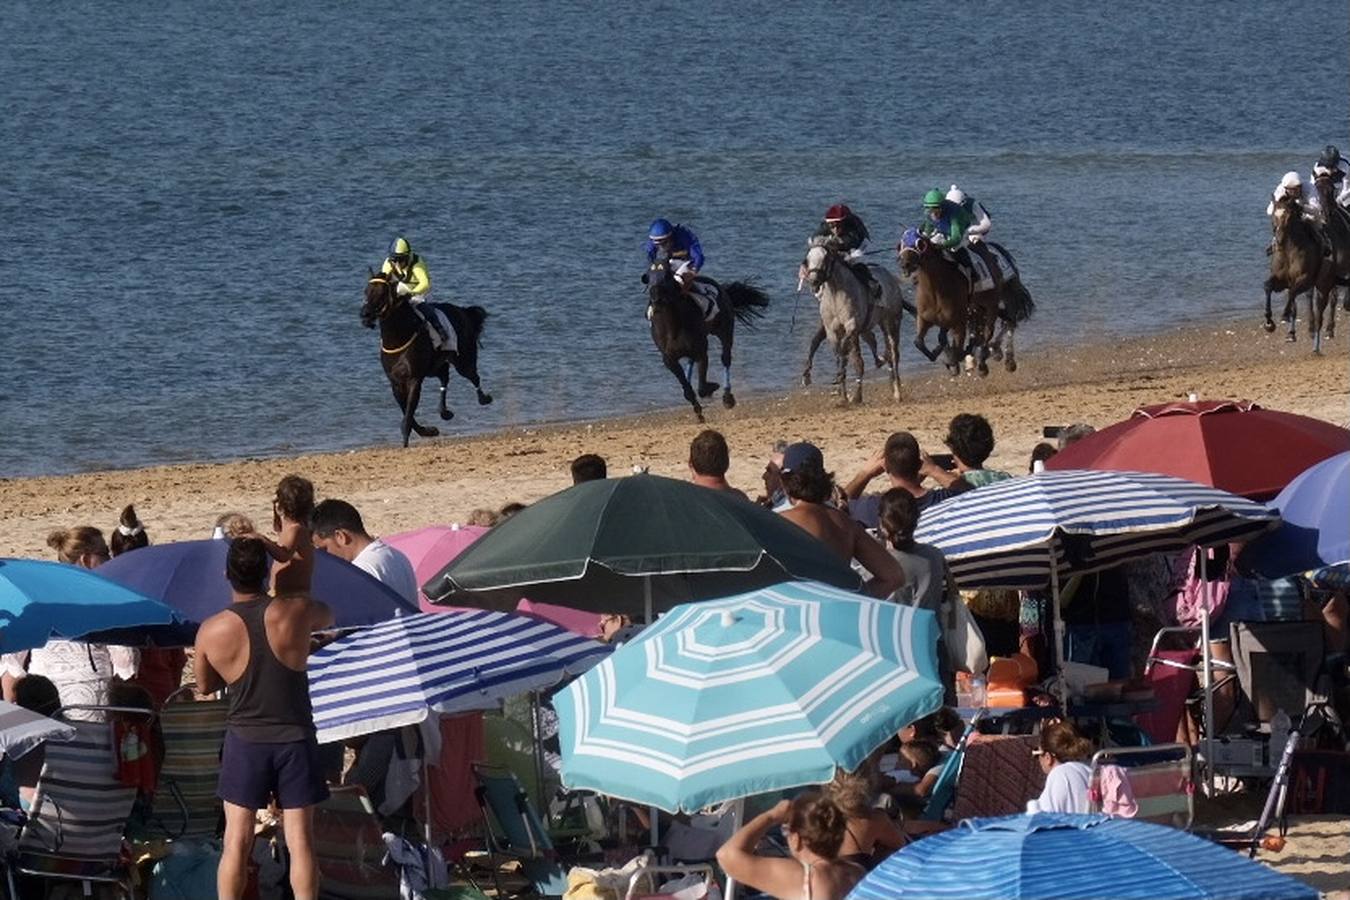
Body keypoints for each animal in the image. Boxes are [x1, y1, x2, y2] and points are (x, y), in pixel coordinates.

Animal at [361, 272, 494, 445]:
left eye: (382, 293)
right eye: (366, 291)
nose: (365, 314)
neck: (399, 338)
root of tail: (464, 311)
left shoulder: (415, 379)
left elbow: (409, 412)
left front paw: (408, 438)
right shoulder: (395, 383)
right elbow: (406, 412)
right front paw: (428, 431)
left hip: (463, 361)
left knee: (474, 377)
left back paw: (484, 398)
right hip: (434, 367)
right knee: (444, 376)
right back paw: (444, 412)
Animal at [645, 255, 772, 420]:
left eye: (667, 275)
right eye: (648, 277)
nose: (656, 299)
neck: (673, 327)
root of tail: (721, 287)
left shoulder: (701, 351)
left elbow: (701, 387)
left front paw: (713, 388)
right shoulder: (670, 360)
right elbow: (687, 388)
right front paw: (698, 412)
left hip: (724, 330)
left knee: (725, 358)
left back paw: (727, 398)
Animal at [804, 244, 901, 402]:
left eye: (825, 258)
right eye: (808, 259)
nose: (813, 282)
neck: (836, 296)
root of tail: (891, 278)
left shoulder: (851, 327)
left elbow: (848, 355)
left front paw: (853, 395)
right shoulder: (832, 331)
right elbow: (841, 357)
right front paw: (843, 397)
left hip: (891, 323)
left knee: (893, 354)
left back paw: (897, 392)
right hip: (872, 328)